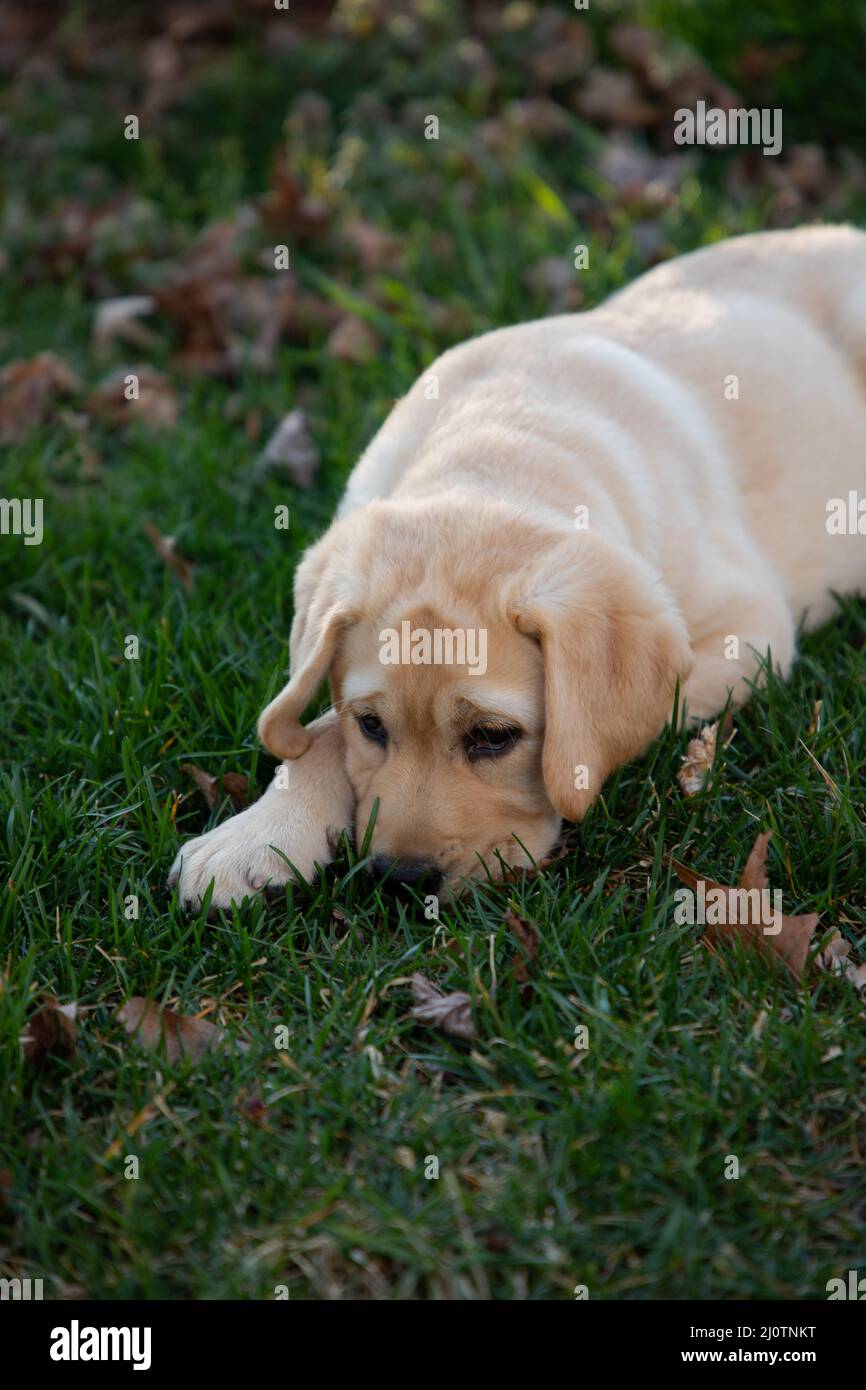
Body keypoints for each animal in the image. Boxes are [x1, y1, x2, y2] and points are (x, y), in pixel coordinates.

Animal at [173, 222, 866, 906]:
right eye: (371, 725)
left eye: (494, 737)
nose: (402, 881)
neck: (499, 453)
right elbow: (319, 732)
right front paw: (256, 837)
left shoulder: (751, 629)